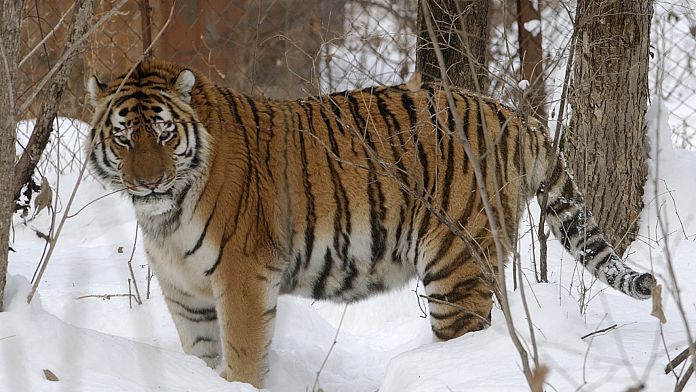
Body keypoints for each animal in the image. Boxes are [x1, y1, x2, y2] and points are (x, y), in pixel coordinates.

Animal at [85, 59, 652, 388]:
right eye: (123, 138)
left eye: (163, 134)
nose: (149, 182)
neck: (165, 216)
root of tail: (514, 115)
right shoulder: (185, 291)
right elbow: (199, 353)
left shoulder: (242, 275)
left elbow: (243, 356)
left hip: (457, 267)